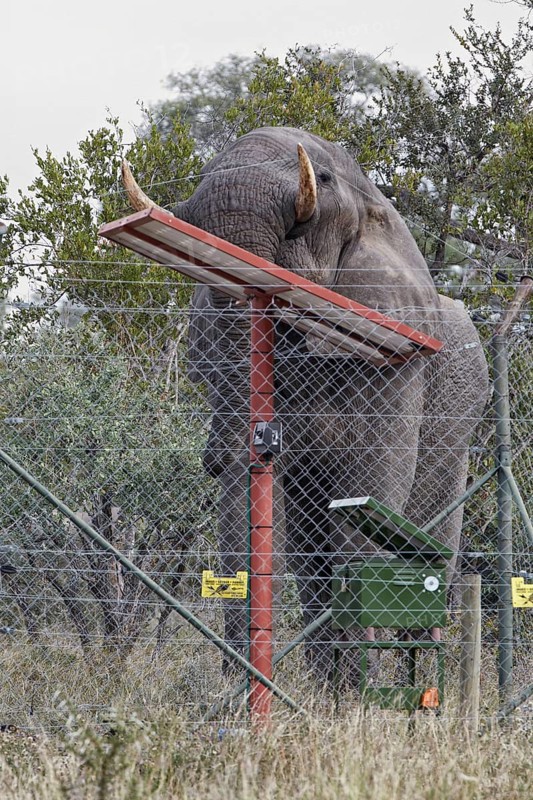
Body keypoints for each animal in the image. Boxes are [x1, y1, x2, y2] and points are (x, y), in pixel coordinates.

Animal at [123, 126, 489, 678]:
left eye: (325, 179)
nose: (210, 457)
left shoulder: (399, 362)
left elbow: (367, 493)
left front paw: (361, 695)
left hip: (459, 435)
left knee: (432, 556)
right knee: (308, 559)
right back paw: (326, 684)